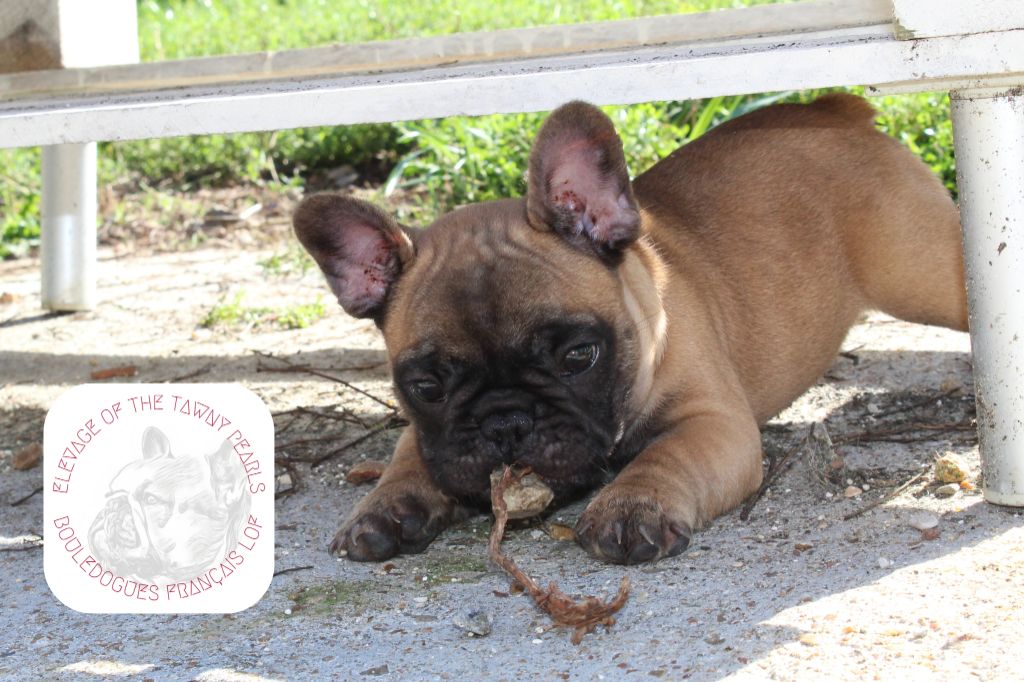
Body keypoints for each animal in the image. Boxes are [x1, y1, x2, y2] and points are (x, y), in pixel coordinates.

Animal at [294, 94, 967, 565]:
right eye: (427, 387)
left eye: (578, 356)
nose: (505, 421)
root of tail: (834, 110)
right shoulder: (431, 432)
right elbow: (412, 454)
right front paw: (388, 504)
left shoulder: (716, 425)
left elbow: (667, 454)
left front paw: (630, 504)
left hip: (928, 274)